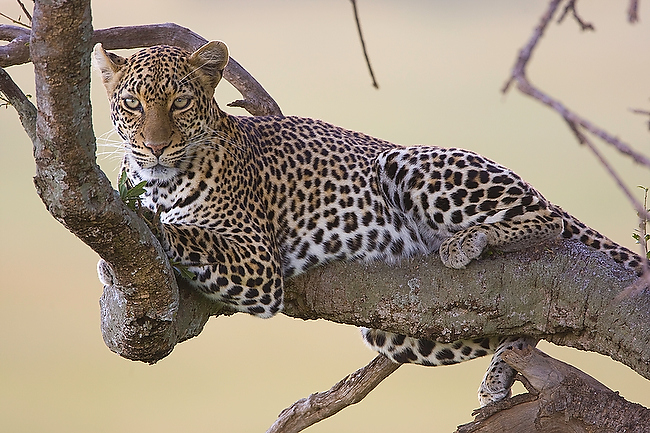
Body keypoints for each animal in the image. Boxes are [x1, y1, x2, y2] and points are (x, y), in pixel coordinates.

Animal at [91, 40, 644, 404]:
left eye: (181, 102)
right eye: (132, 104)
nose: (155, 147)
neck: (162, 180)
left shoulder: (258, 262)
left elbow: (186, 231)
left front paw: (148, 222)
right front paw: (110, 263)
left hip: (410, 164)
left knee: (546, 221)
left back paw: (469, 241)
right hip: (401, 332)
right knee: (516, 322)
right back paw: (499, 374)